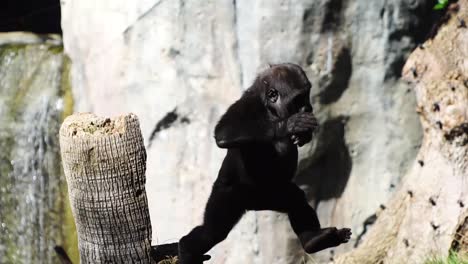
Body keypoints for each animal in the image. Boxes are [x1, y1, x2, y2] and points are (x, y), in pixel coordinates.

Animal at [179, 63, 352, 262]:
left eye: (307, 95)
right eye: (298, 99)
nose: (308, 107)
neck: (269, 108)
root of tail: (250, 204)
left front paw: (303, 134)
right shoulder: (246, 105)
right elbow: (225, 131)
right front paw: (288, 125)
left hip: (270, 196)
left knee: (295, 198)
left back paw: (313, 240)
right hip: (228, 194)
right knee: (212, 232)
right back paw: (186, 249)